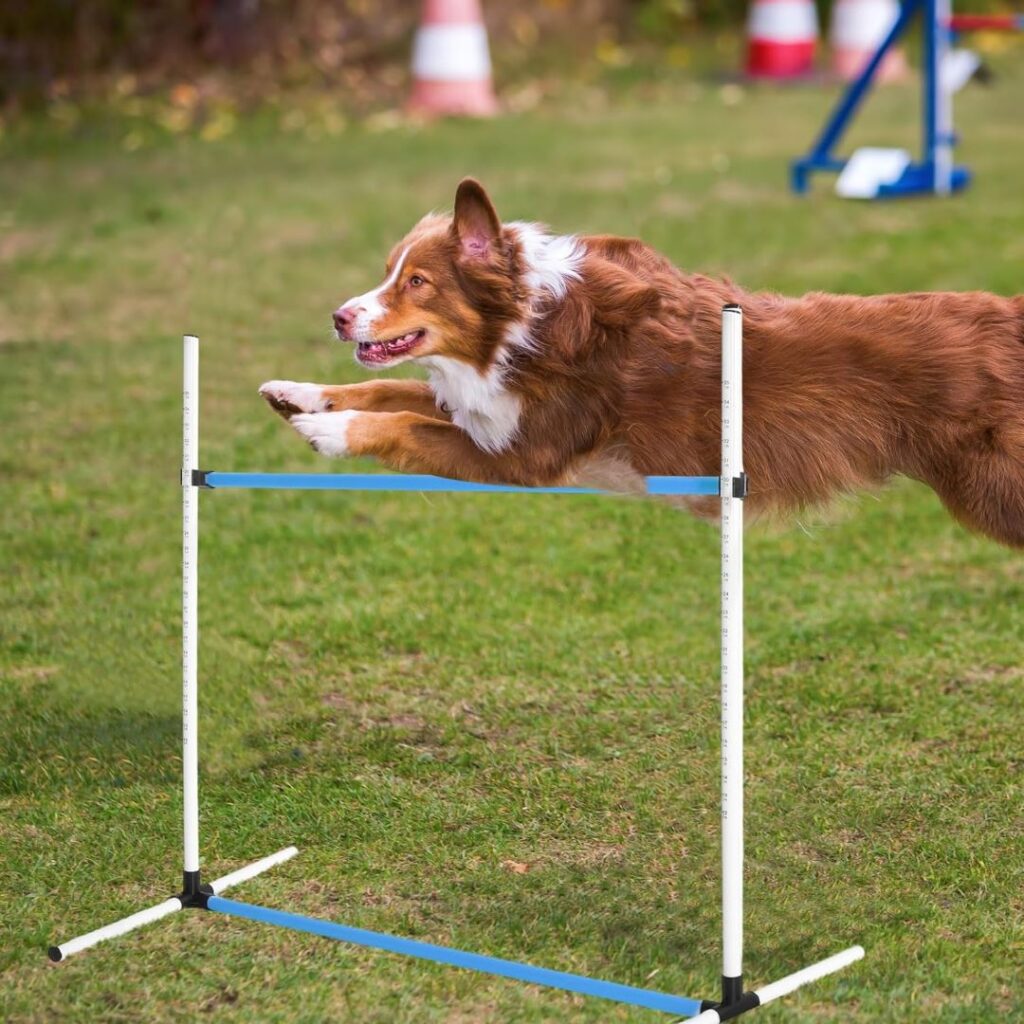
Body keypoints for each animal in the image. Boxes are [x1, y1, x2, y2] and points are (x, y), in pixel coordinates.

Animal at [262, 178, 1024, 544]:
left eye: (417, 282)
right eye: (387, 272)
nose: (339, 315)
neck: (528, 325)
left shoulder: (523, 457)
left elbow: (405, 425)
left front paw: (328, 431)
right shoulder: (492, 408)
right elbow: (395, 392)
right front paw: (297, 393)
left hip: (998, 490)